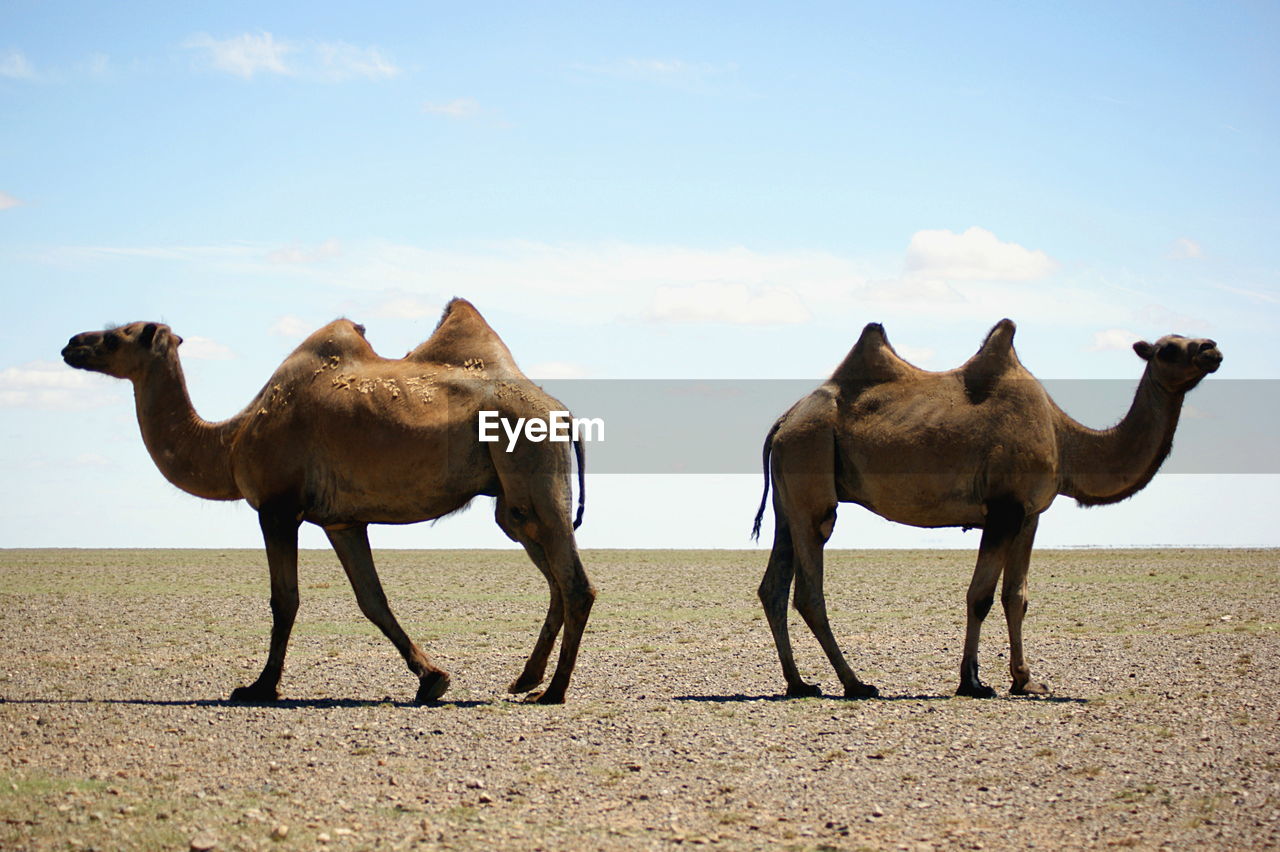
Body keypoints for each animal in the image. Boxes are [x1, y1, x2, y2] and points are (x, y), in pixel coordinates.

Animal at [62, 298, 596, 701]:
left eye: (116, 336)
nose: (71, 344)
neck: (231, 440)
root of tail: (563, 413)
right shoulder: (342, 522)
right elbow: (372, 600)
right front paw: (432, 678)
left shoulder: (277, 508)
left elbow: (285, 599)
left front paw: (259, 687)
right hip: (514, 505)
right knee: (551, 575)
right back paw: (526, 680)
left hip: (535, 473)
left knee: (575, 584)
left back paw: (553, 692)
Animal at [747, 318, 1218, 695]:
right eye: (1168, 348)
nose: (1211, 348)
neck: (1065, 439)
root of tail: (785, 420)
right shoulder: (1004, 509)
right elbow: (981, 597)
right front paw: (973, 681)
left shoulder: (1030, 514)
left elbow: (1017, 596)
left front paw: (1026, 680)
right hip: (811, 466)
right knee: (809, 586)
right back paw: (856, 684)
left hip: (790, 494)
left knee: (774, 586)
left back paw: (799, 683)